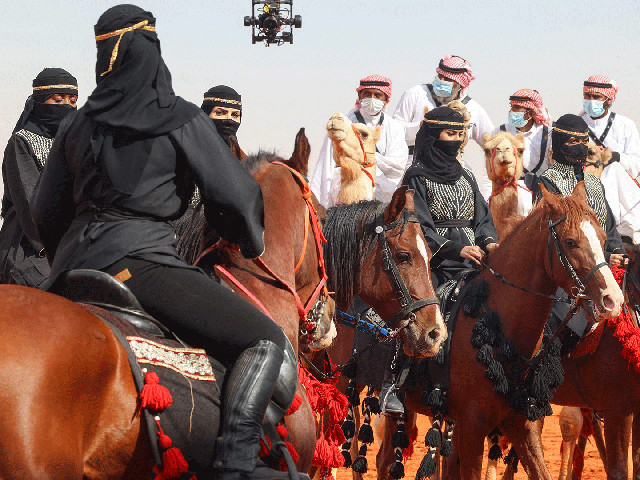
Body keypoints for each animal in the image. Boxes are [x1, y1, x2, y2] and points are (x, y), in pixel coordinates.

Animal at [376, 182, 624, 478]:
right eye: (570, 242)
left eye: (602, 237)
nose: (612, 300)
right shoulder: (472, 427)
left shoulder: (523, 425)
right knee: (383, 460)